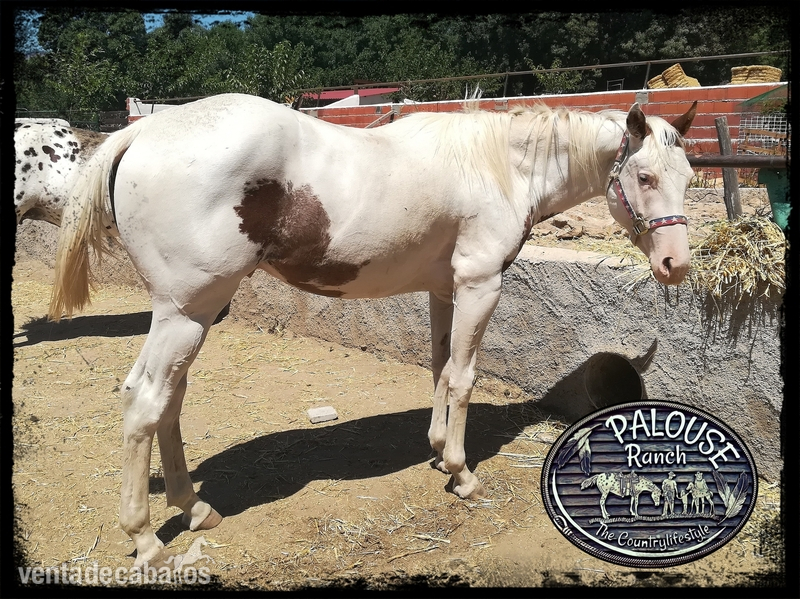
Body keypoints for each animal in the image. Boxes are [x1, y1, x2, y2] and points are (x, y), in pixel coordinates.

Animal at [48, 93, 696, 565]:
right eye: (643, 176)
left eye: (689, 176)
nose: (676, 265)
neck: (498, 167)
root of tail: (143, 133)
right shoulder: (480, 284)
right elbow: (464, 377)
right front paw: (462, 474)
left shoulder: (444, 289)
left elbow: (440, 369)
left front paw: (436, 450)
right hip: (186, 313)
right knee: (145, 402)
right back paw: (145, 538)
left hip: (189, 317)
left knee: (170, 402)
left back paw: (194, 507)